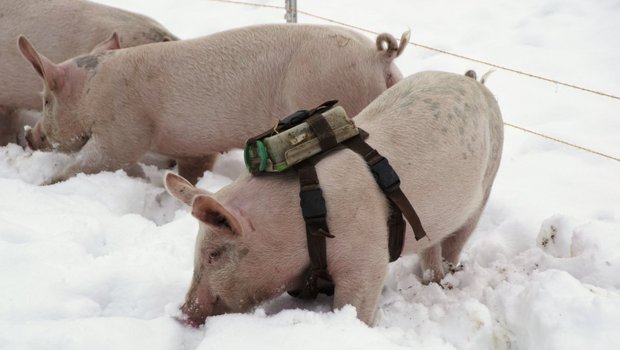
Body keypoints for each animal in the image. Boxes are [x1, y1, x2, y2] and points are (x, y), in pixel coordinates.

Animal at [18, 22, 406, 183]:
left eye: (46, 99)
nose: (29, 136)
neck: (92, 90)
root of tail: (378, 55)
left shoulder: (123, 126)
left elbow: (100, 158)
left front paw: (44, 184)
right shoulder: (193, 147)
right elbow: (192, 169)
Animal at [163, 69, 504, 326]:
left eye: (214, 254)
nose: (182, 313)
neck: (303, 218)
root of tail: (472, 80)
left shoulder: (368, 256)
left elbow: (356, 302)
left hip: (489, 180)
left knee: (457, 239)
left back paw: (444, 281)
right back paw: (430, 279)